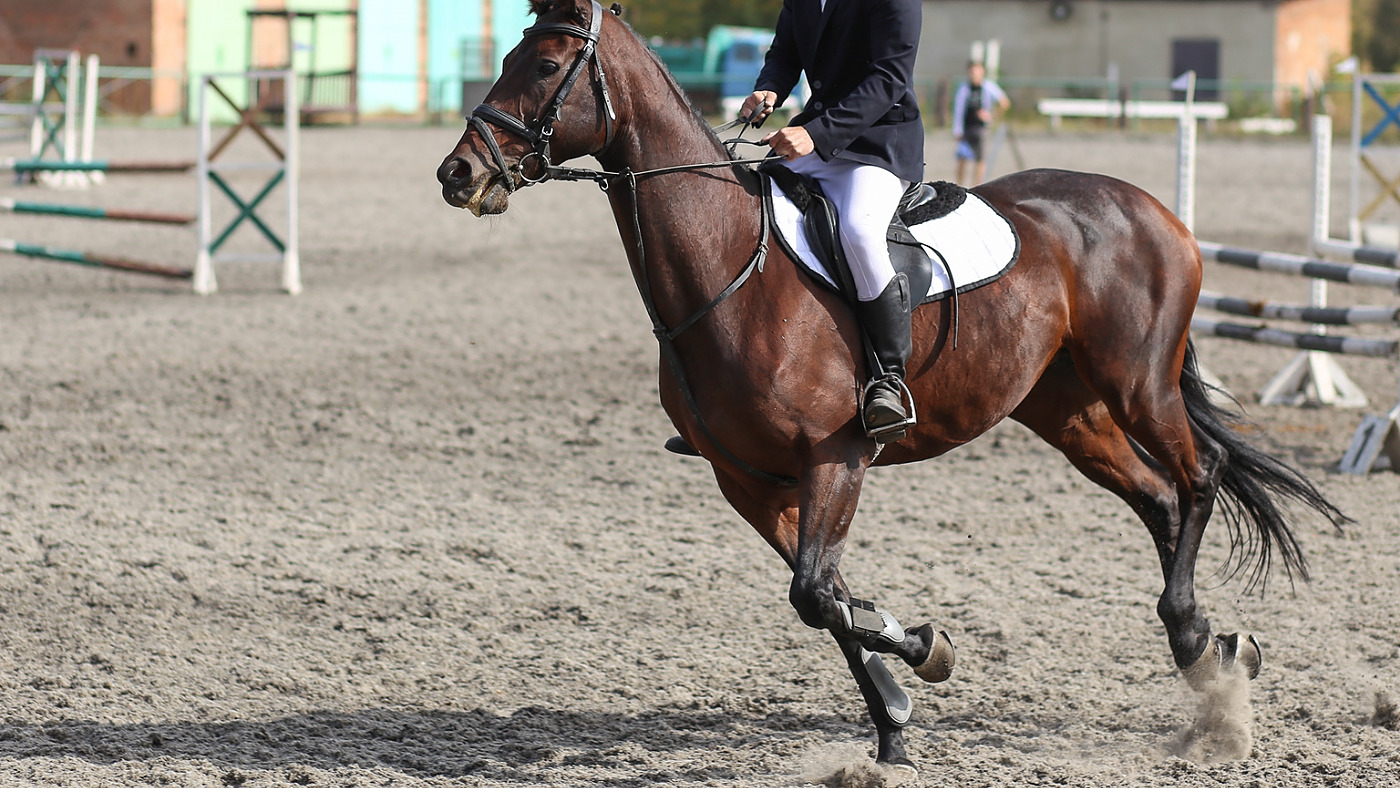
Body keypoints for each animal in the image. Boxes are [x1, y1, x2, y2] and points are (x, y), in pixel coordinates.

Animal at [436, 0, 1345, 774]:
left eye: (543, 63)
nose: (458, 174)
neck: (728, 269)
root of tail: (1154, 210)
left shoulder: (836, 458)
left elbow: (815, 592)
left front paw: (921, 663)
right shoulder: (747, 480)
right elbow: (830, 599)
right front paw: (898, 715)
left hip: (1138, 385)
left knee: (1199, 479)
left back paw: (1200, 647)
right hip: (1067, 411)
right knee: (1158, 497)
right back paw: (1208, 650)